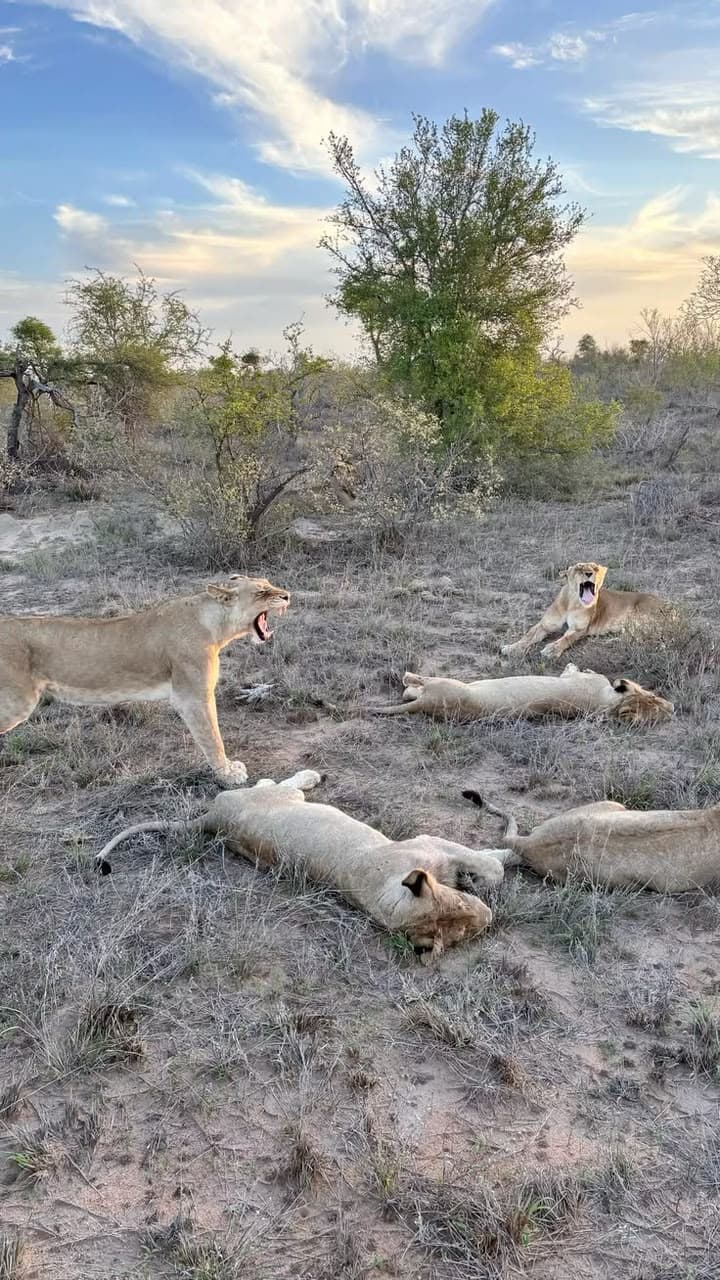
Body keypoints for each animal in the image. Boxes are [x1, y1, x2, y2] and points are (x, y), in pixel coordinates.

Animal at [0, 576, 290, 787]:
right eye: (261, 591)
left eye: (268, 583)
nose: (288, 595)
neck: (214, 624)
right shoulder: (192, 696)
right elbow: (211, 737)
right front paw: (228, 773)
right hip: (17, 702)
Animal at [95, 770, 509, 958]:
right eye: (463, 915)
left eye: (464, 929)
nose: (490, 918)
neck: (385, 898)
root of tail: (213, 818)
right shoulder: (426, 843)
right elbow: (492, 868)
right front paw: (498, 858)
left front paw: (483, 867)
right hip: (280, 797)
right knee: (278, 783)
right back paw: (309, 775)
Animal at [501, 562, 664, 660]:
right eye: (579, 568)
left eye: (595, 568)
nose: (589, 573)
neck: (571, 601)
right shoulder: (545, 625)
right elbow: (528, 636)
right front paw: (511, 648)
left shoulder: (579, 629)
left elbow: (566, 639)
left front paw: (551, 649)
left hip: (640, 616)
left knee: (644, 636)